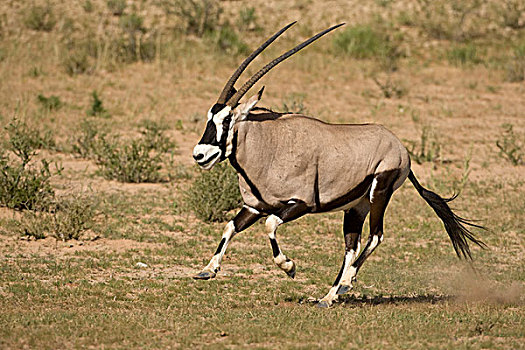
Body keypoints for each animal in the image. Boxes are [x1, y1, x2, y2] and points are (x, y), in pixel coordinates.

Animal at [190, 21, 486, 308]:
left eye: (227, 120)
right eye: (210, 117)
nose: (200, 154)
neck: (270, 145)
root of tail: (401, 148)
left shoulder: (300, 204)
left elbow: (270, 225)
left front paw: (289, 266)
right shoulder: (255, 206)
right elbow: (231, 226)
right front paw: (208, 270)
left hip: (380, 192)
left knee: (375, 236)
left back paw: (344, 284)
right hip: (356, 207)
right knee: (351, 246)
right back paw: (328, 296)